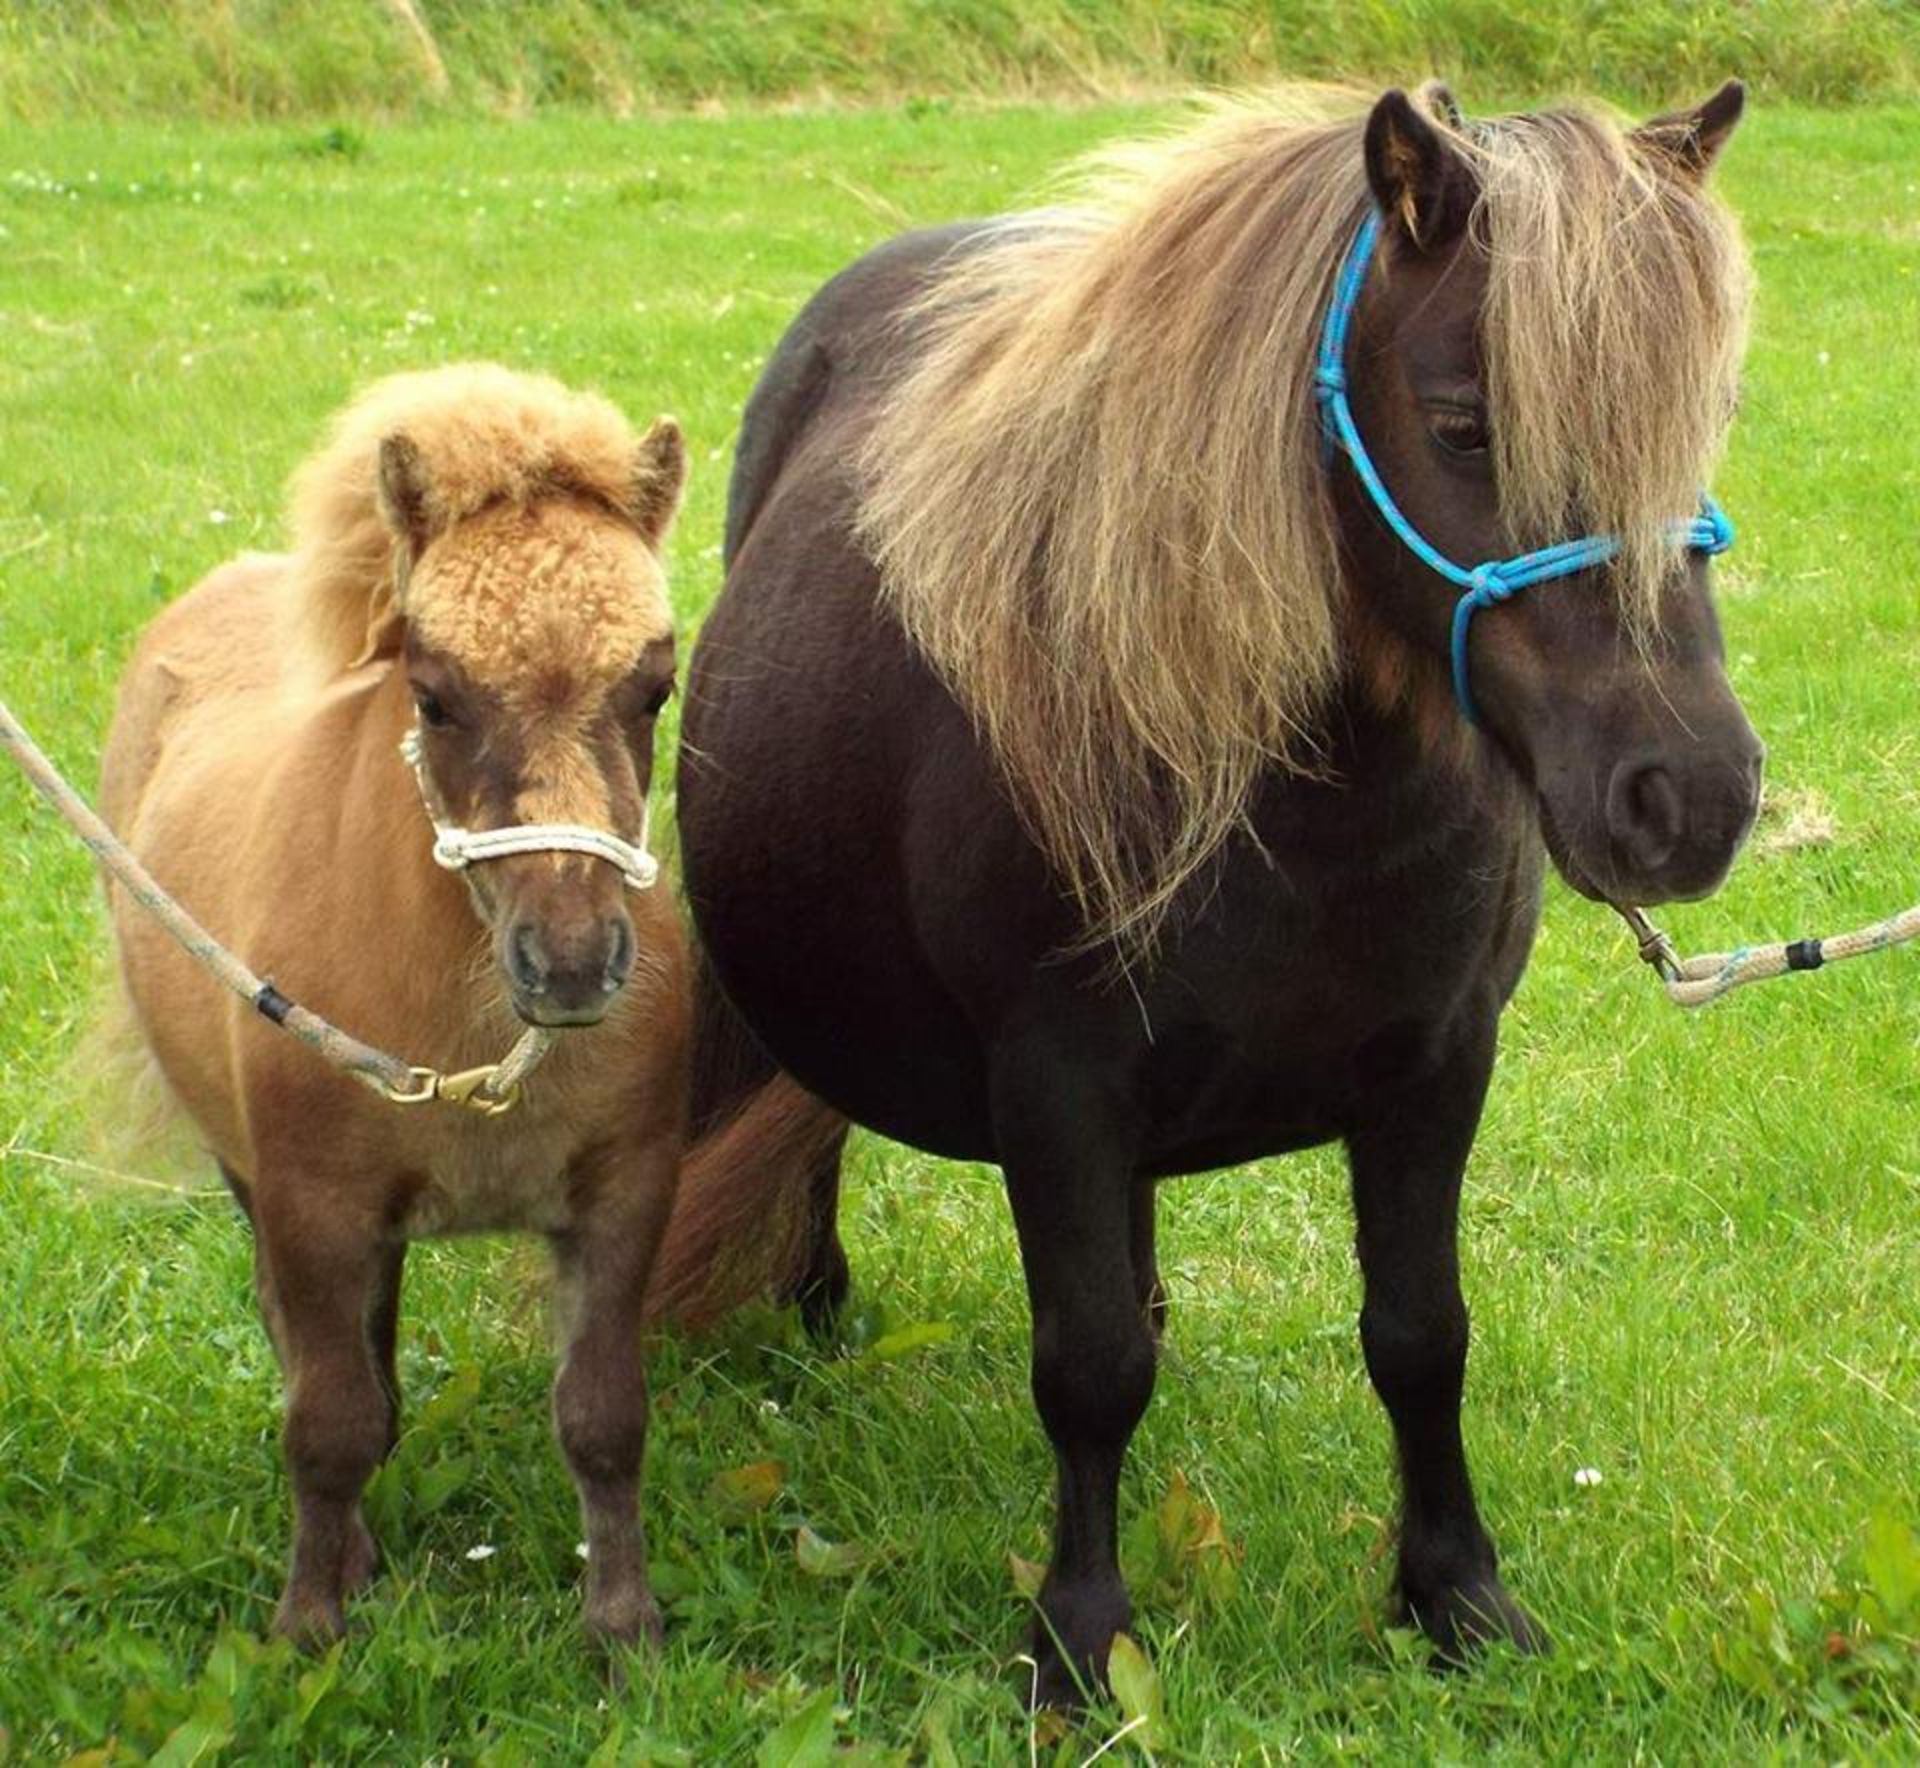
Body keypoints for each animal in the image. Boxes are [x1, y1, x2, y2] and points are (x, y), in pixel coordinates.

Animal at [664, 82, 1766, 1696]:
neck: (1302, 808)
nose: (1691, 798)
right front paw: (1079, 1644)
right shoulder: (1057, 1091)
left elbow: (1420, 1337)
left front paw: (1454, 1595)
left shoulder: (1438, 1071)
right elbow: (1089, 1370)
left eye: (1707, 427)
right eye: (1464, 422)